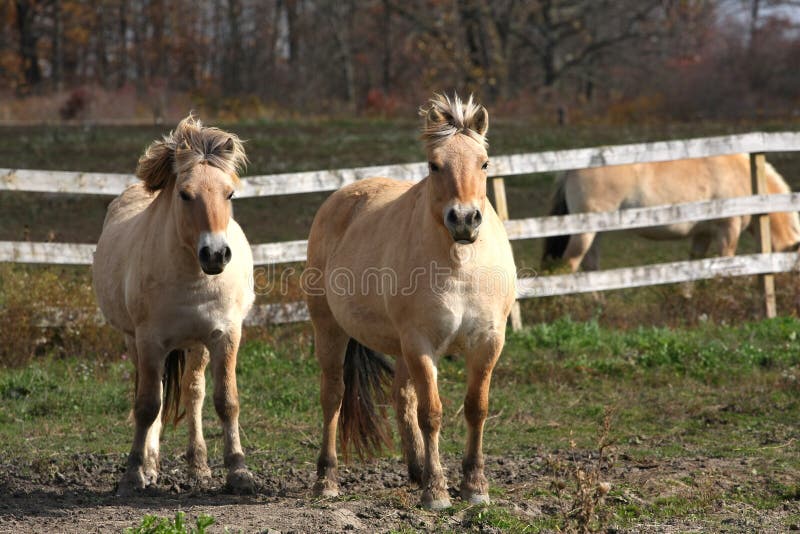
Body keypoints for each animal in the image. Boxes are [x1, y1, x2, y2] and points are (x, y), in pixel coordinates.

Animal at [92, 115, 255, 495]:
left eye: (230, 193)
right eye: (184, 194)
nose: (215, 254)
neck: (193, 278)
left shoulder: (226, 336)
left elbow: (226, 402)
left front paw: (238, 471)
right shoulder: (149, 341)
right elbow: (148, 405)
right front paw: (134, 473)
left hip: (196, 344)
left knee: (194, 395)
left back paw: (198, 466)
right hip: (136, 342)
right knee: (155, 394)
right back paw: (151, 466)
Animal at [303, 93, 517, 510]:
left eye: (484, 162)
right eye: (435, 165)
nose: (464, 219)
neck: (461, 265)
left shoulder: (487, 342)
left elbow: (476, 408)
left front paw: (474, 486)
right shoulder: (421, 343)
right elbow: (431, 413)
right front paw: (437, 491)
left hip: (400, 348)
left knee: (402, 399)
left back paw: (415, 470)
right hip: (331, 331)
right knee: (333, 397)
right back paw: (327, 479)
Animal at [542, 154, 800, 271]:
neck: (745, 176)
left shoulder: (703, 235)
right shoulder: (728, 230)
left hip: (596, 233)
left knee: (590, 266)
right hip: (585, 233)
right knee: (571, 264)